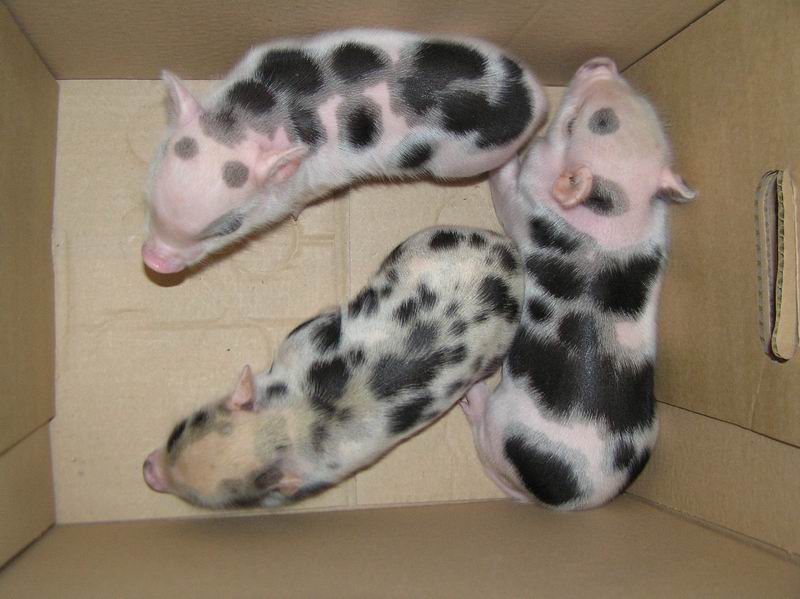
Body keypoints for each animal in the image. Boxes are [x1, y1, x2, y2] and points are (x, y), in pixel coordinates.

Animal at [142, 29, 547, 274]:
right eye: (149, 191)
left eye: (228, 227)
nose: (153, 261)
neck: (256, 115)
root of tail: (538, 98)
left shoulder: (311, 182)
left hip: (464, 162)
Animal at [143, 226, 523, 508]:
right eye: (177, 431)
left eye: (199, 500)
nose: (147, 471)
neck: (296, 421)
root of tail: (512, 255)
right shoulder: (300, 341)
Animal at [461, 58, 696, 510]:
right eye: (643, 100)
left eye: (572, 124)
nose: (600, 63)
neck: (616, 209)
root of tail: (573, 500)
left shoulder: (527, 213)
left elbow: (508, 191)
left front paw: (511, 154)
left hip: (502, 427)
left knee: (482, 434)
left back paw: (472, 398)